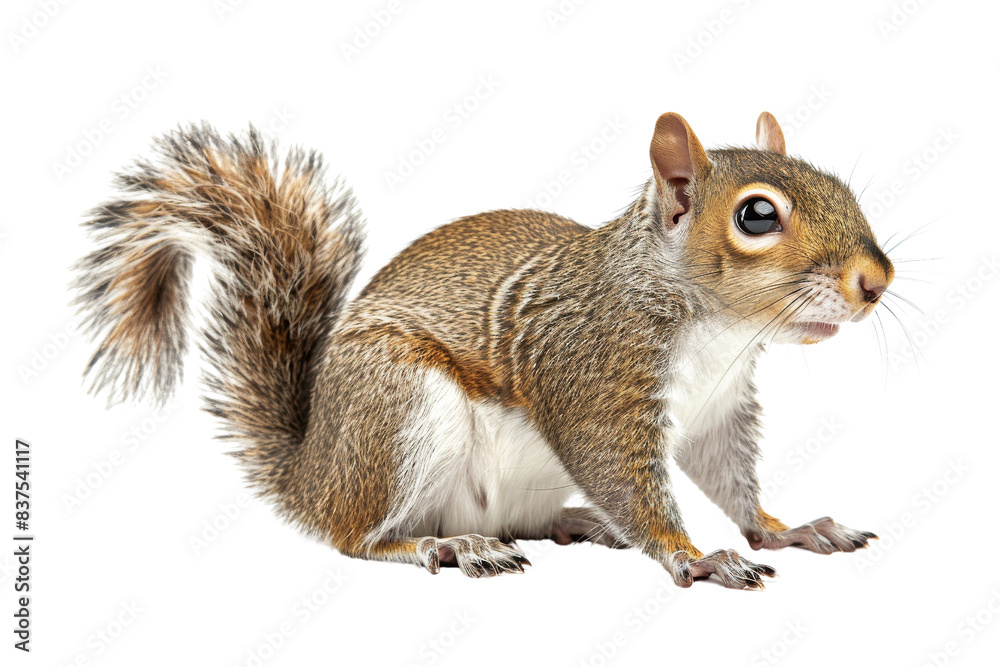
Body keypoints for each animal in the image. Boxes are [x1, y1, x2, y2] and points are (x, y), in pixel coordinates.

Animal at [73, 111, 893, 589]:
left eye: (839, 184)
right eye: (757, 216)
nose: (876, 281)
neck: (716, 331)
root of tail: (314, 473)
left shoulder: (719, 410)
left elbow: (730, 479)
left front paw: (785, 528)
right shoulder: (594, 377)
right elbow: (624, 476)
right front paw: (695, 554)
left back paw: (575, 524)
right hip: (400, 413)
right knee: (354, 538)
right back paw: (442, 548)